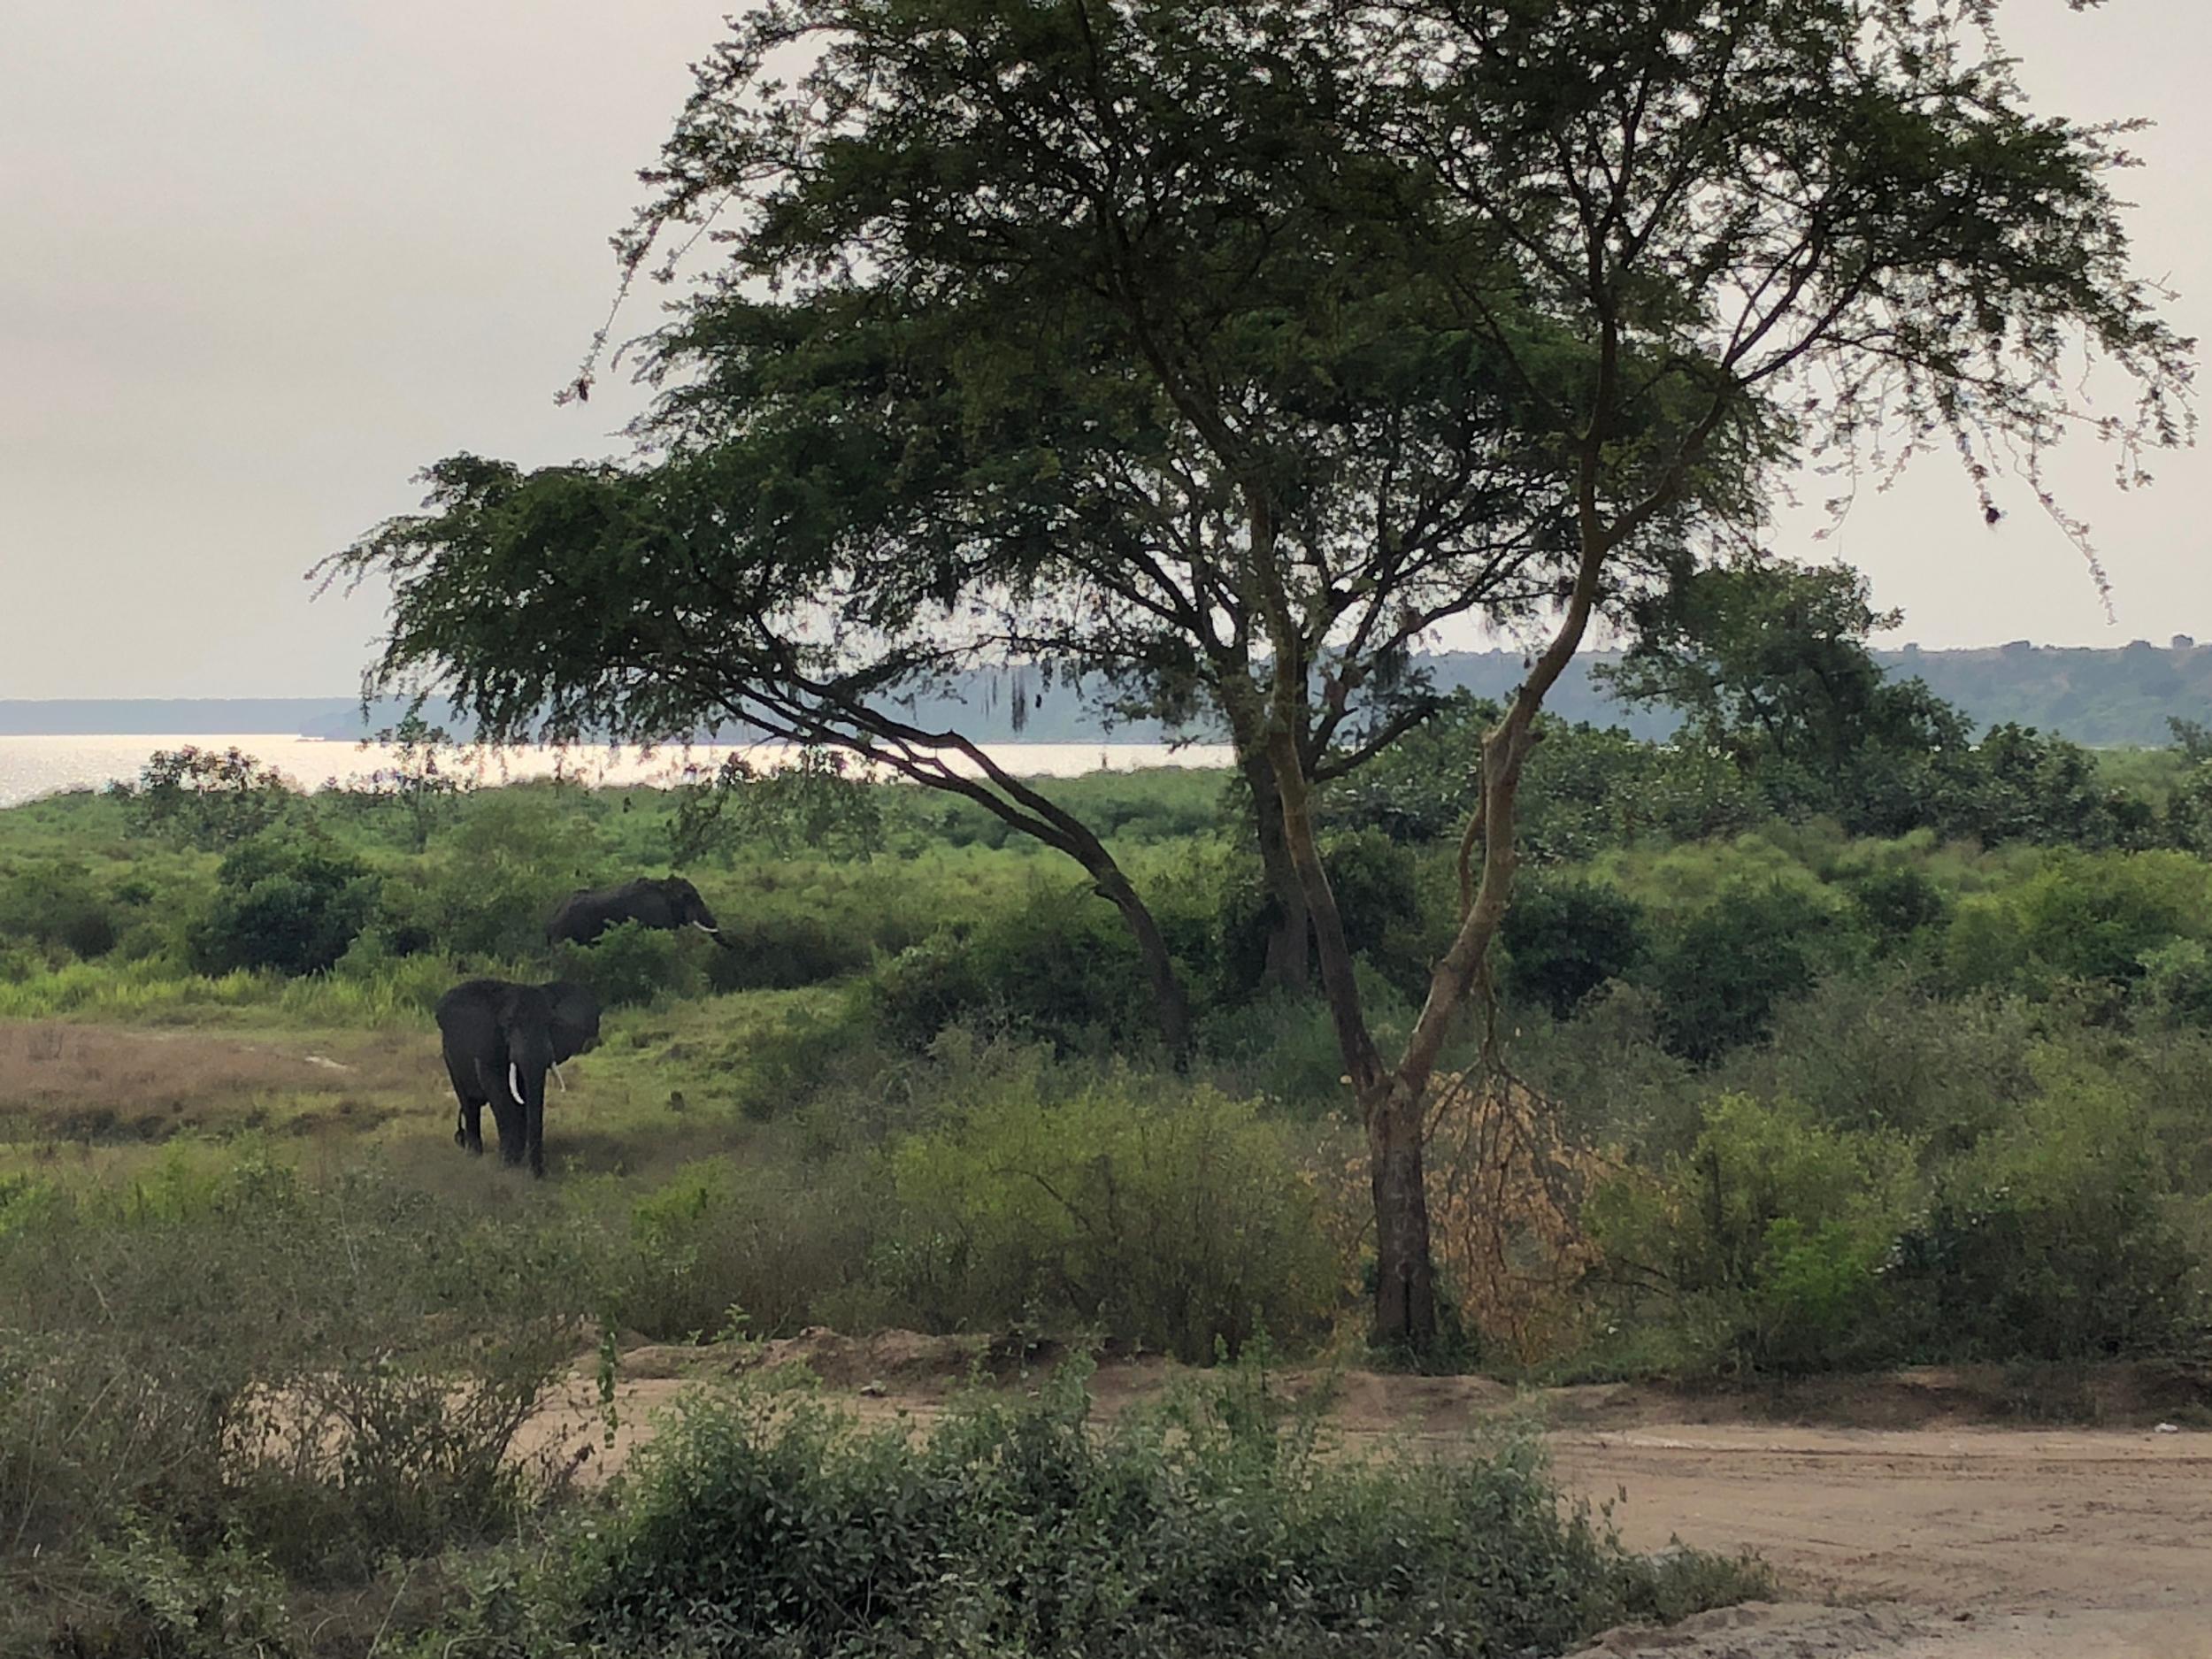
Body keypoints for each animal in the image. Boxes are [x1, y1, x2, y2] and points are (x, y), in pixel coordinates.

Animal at [434, 982, 602, 1177]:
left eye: (551, 1023)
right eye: (508, 1025)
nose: (538, 1174)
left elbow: (525, 1097)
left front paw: (517, 1161)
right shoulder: (489, 1048)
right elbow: (500, 1095)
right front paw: (507, 1163)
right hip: (449, 1058)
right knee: (468, 1103)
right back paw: (473, 1155)